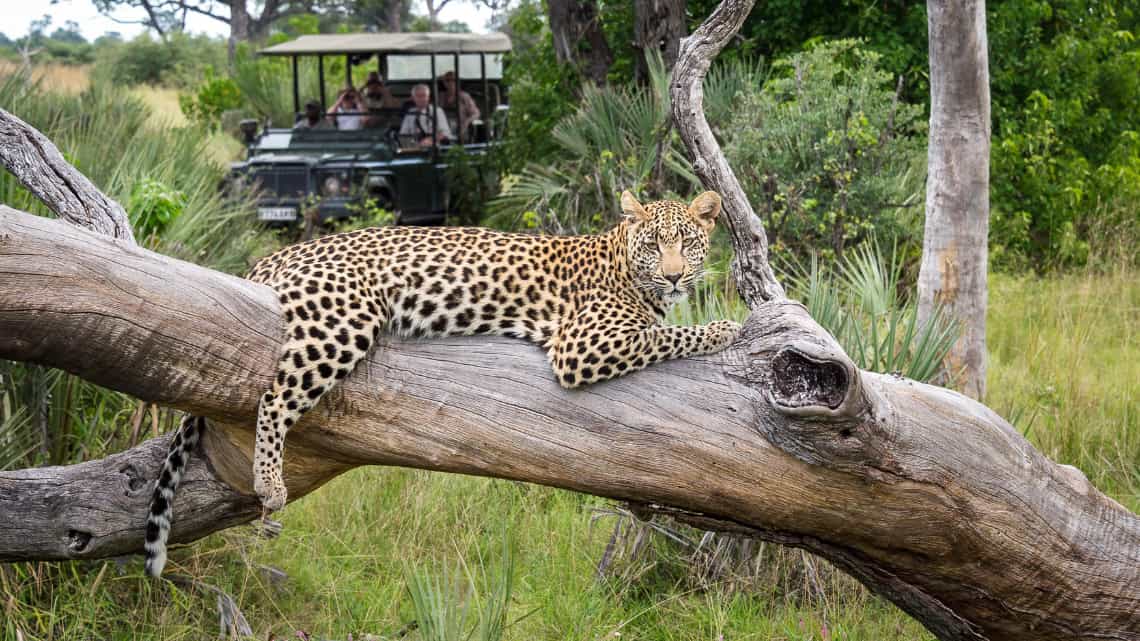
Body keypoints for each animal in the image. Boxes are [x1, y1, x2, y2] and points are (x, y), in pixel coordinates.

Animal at [142, 188, 738, 574]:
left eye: (688, 242)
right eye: (654, 244)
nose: (674, 275)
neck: (623, 261)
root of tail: (281, 252)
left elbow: (667, 328)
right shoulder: (583, 345)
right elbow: (670, 334)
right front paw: (728, 327)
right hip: (343, 321)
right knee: (273, 395)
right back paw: (270, 483)